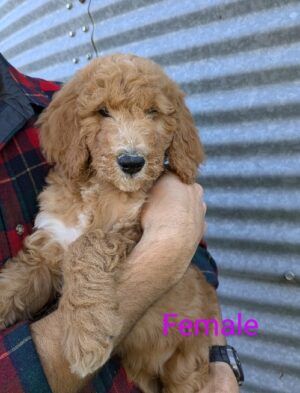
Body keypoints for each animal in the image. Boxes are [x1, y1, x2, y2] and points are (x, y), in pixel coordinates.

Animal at [0, 54, 218, 392]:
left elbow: (85, 246)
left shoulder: (125, 230)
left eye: (152, 112)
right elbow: (17, 280)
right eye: (102, 111)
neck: (95, 189)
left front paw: (85, 335)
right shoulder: (50, 242)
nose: (131, 162)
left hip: (187, 362)